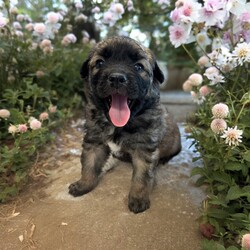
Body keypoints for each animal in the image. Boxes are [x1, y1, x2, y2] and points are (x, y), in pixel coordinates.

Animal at [68, 36, 182, 213]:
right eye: (100, 62)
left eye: (138, 66)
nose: (116, 78)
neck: (118, 125)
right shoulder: (94, 142)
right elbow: (88, 165)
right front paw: (83, 185)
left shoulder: (144, 149)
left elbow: (142, 177)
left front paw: (138, 199)